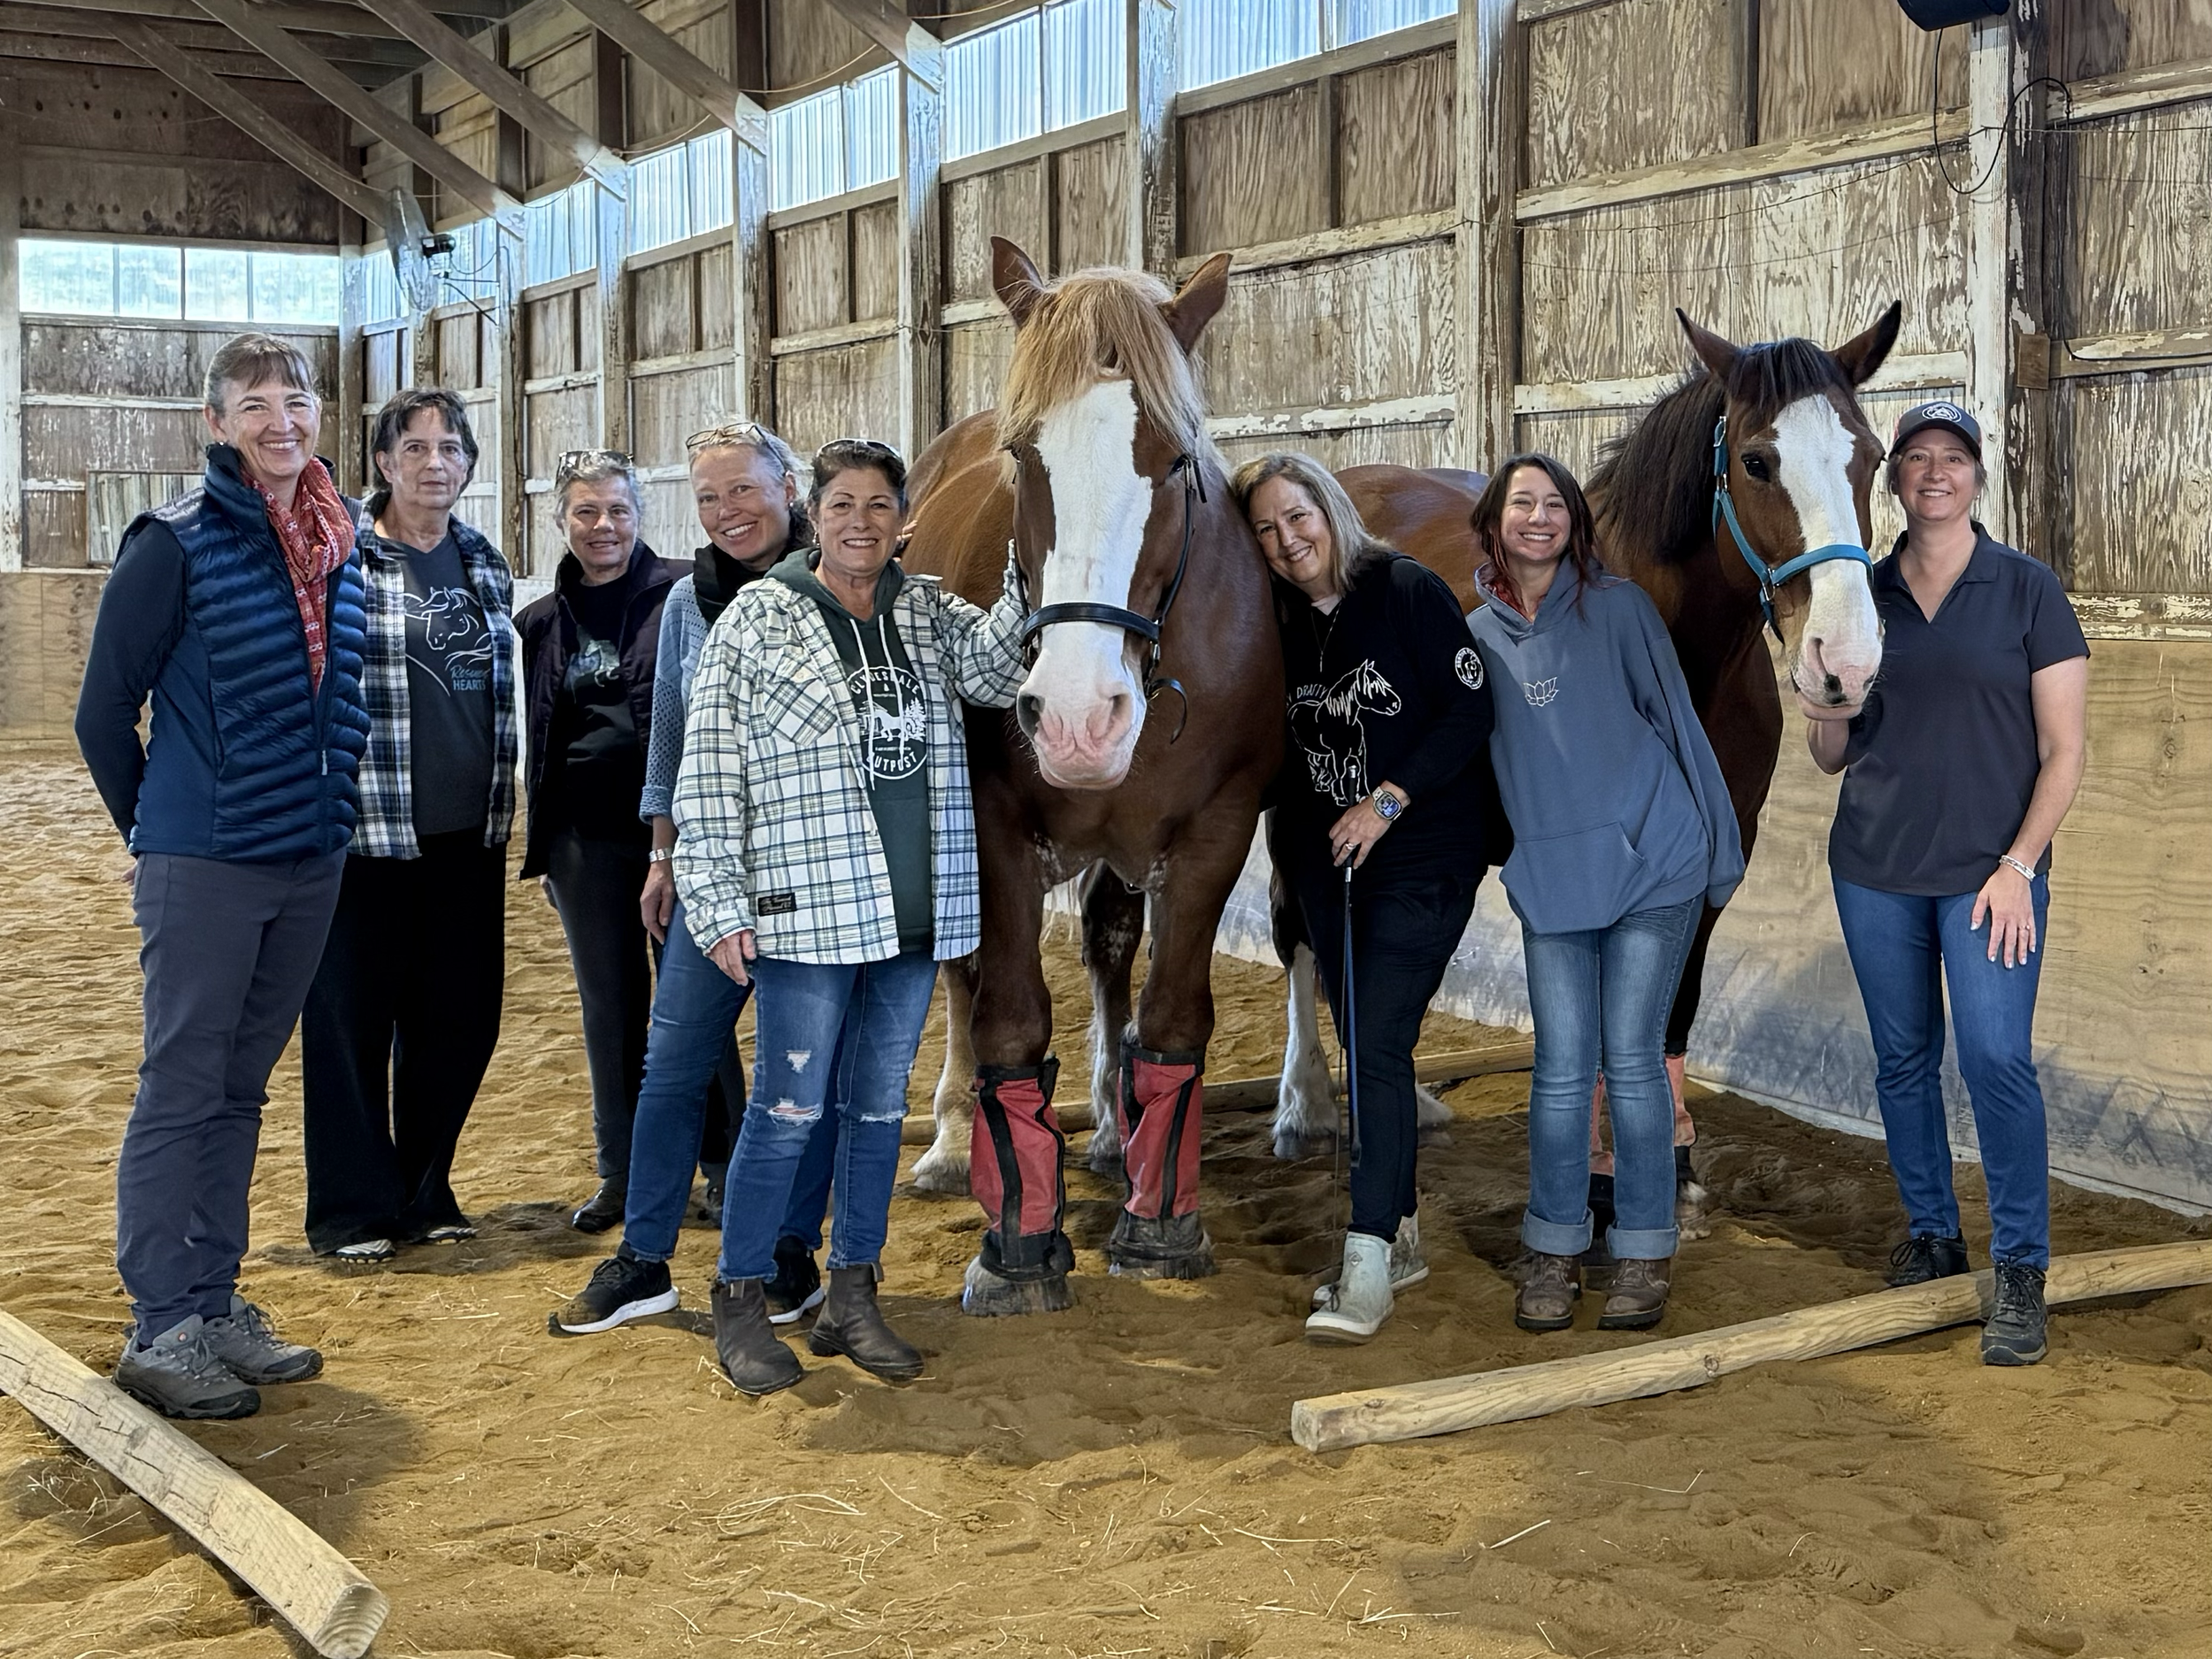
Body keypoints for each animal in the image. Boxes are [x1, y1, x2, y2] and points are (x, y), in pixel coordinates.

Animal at [900, 238, 1284, 1315]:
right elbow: (1010, 1020)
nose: (1075, 717)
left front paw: (1161, 1222)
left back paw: (1116, 1132)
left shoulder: (1214, 832)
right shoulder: (994, 834)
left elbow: (1172, 1019)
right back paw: (955, 1139)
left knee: (1112, 949)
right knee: (963, 982)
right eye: (1022, 454)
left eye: (1174, 460)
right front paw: (1018, 1243)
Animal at [1264, 306, 1902, 1189]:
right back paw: (1304, 1105)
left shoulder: (1716, 847)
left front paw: (1673, 1154)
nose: (1846, 662)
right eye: (1756, 460)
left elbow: (1675, 1003)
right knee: (1295, 928)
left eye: (1871, 456)